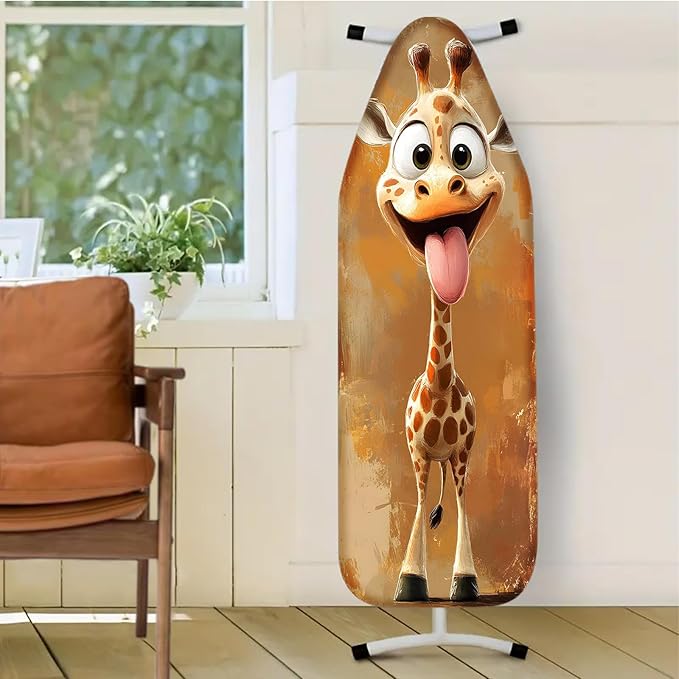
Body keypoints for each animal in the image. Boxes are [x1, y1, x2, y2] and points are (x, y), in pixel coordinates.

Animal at [357, 39, 516, 602]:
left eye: (465, 153)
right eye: (418, 154)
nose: (446, 187)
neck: (441, 389)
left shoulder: (464, 450)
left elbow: (464, 503)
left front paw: (464, 582)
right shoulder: (417, 451)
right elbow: (422, 496)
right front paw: (409, 581)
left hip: (461, 452)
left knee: (461, 497)